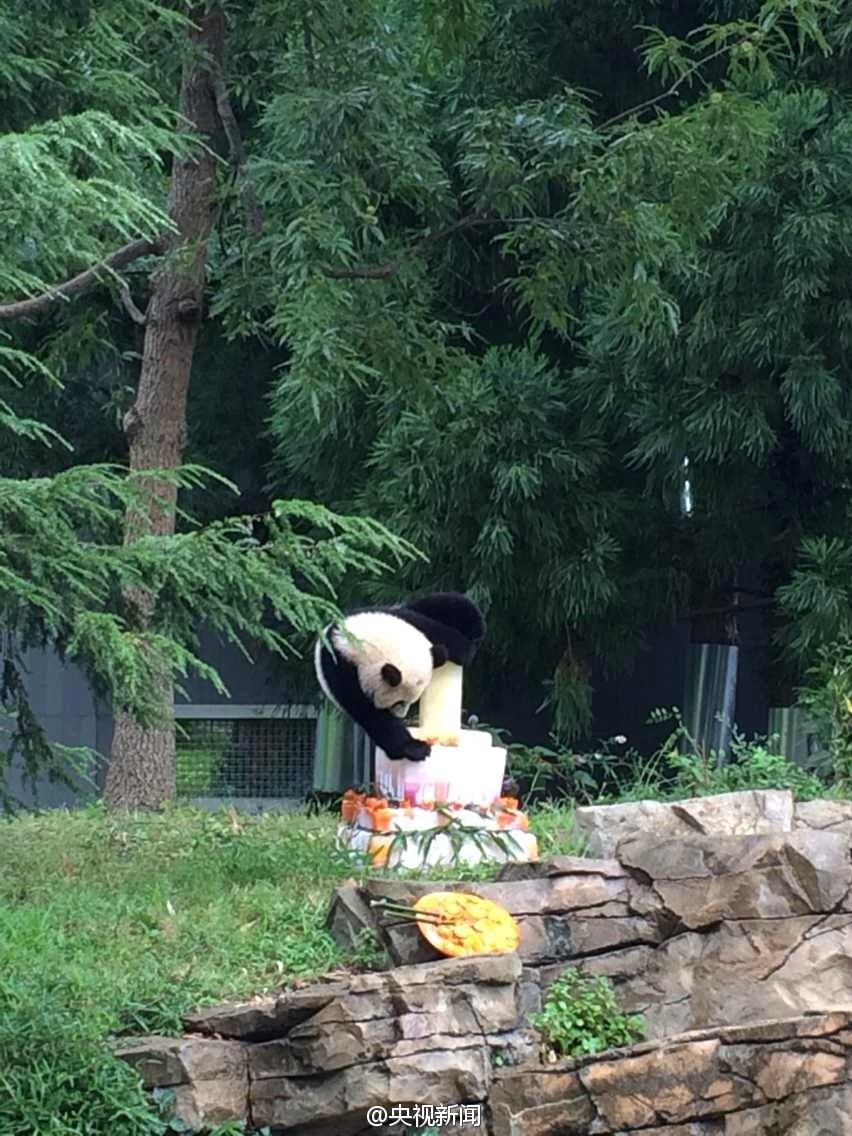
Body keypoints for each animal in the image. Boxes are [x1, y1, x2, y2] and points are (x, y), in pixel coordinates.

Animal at [313, 595, 486, 763]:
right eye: (399, 702)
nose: (400, 716)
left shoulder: (402, 618)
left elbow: (435, 628)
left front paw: (464, 649)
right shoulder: (341, 669)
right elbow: (371, 715)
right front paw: (414, 748)